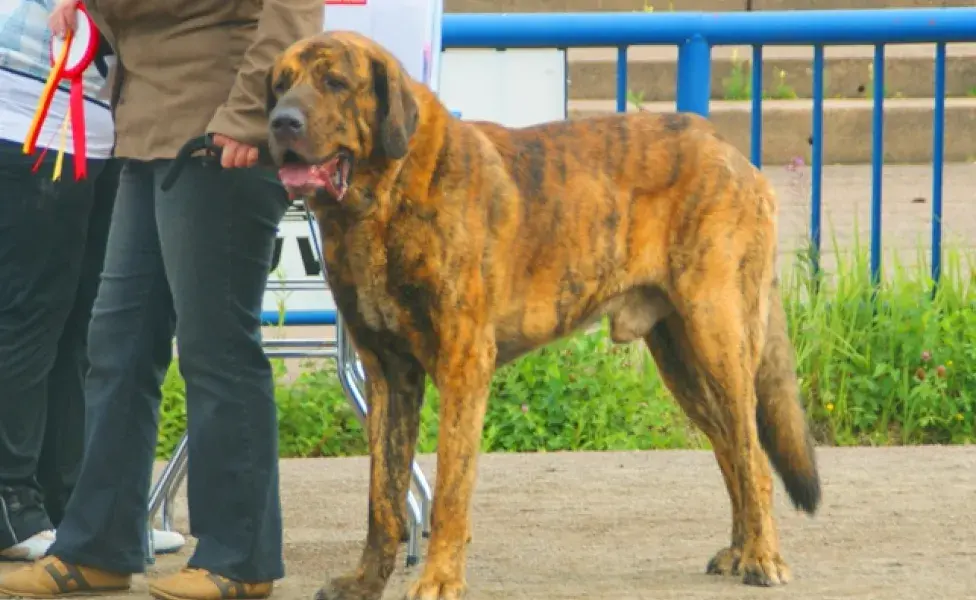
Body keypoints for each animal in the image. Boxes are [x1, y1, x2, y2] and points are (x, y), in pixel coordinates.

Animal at [264, 31, 820, 600]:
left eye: (335, 82)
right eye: (280, 85)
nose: (282, 122)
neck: (381, 202)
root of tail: (727, 147)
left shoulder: (463, 364)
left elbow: (449, 490)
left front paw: (439, 579)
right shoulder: (387, 376)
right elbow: (382, 496)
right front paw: (366, 581)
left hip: (717, 337)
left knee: (754, 457)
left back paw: (762, 556)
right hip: (683, 361)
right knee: (732, 449)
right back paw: (740, 549)